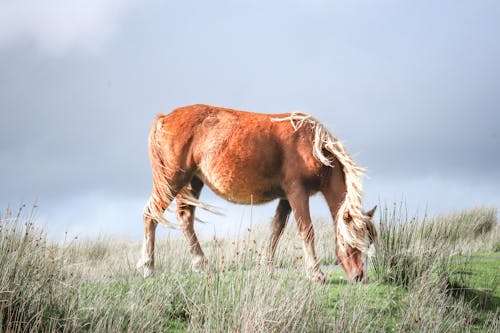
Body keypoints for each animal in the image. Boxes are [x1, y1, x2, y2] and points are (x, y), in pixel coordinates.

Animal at [135, 104, 376, 282]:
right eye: (350, 242)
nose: (359, 277)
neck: (312, 144)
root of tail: (165, 118)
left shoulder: (286, 198)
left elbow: (276, 230)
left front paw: (265, 267)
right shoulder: (298, 193)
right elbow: (306, 231)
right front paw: (316, 274)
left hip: (193, 183)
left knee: (186, 219)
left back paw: (200, 264)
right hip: (172, 181)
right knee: (150, 215)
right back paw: (148, 268)